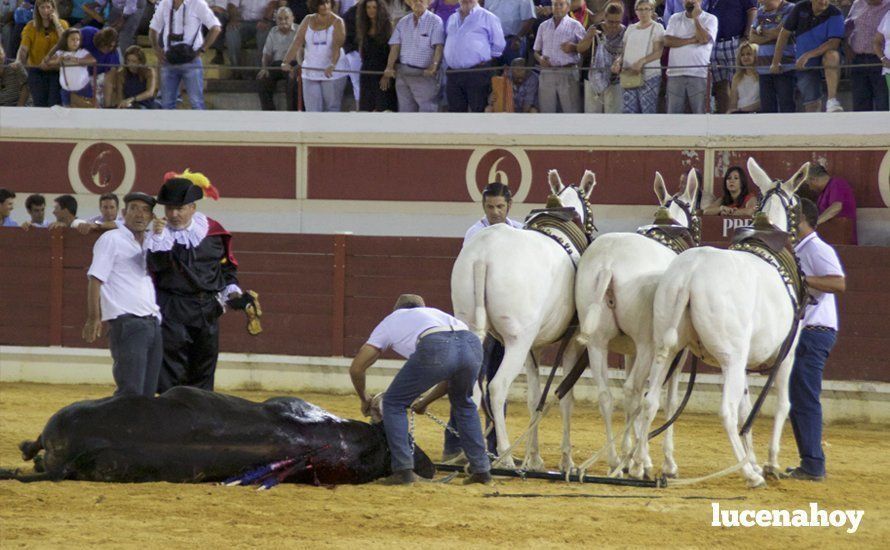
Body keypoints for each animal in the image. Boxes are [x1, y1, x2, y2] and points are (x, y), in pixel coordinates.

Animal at [450, 170, 596, 472]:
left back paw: (476, 454)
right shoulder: (572, 343)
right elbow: (565, 397)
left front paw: (534, 457)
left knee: (473, 390)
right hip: (516, 342)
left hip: (475, 327)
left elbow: (533, 398)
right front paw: (565, 460)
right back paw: (505, 456)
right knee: (496, 388)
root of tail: (483, 257)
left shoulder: (533, 347)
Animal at [572, 171, 696, 478]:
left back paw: (616, 460)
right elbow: (666, 400)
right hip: (647, 343)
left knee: (608, 395)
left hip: (598, 342)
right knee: (632, 392)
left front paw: (636, 453)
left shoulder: (630, 350)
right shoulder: (676, 352)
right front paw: (663, 462)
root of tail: (608, 263)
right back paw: (631, 463)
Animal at [636, 158, 808, 488]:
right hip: (731, 358)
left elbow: (746, 410)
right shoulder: (787, 354)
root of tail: (689, 276)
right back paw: (750, 476)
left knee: (649, 400)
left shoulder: (745, 362)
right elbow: (779, 406)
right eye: (799, 206)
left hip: (669, 349)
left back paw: (638, 465)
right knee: (725, 412)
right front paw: (769, 463)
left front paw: (753, 459)